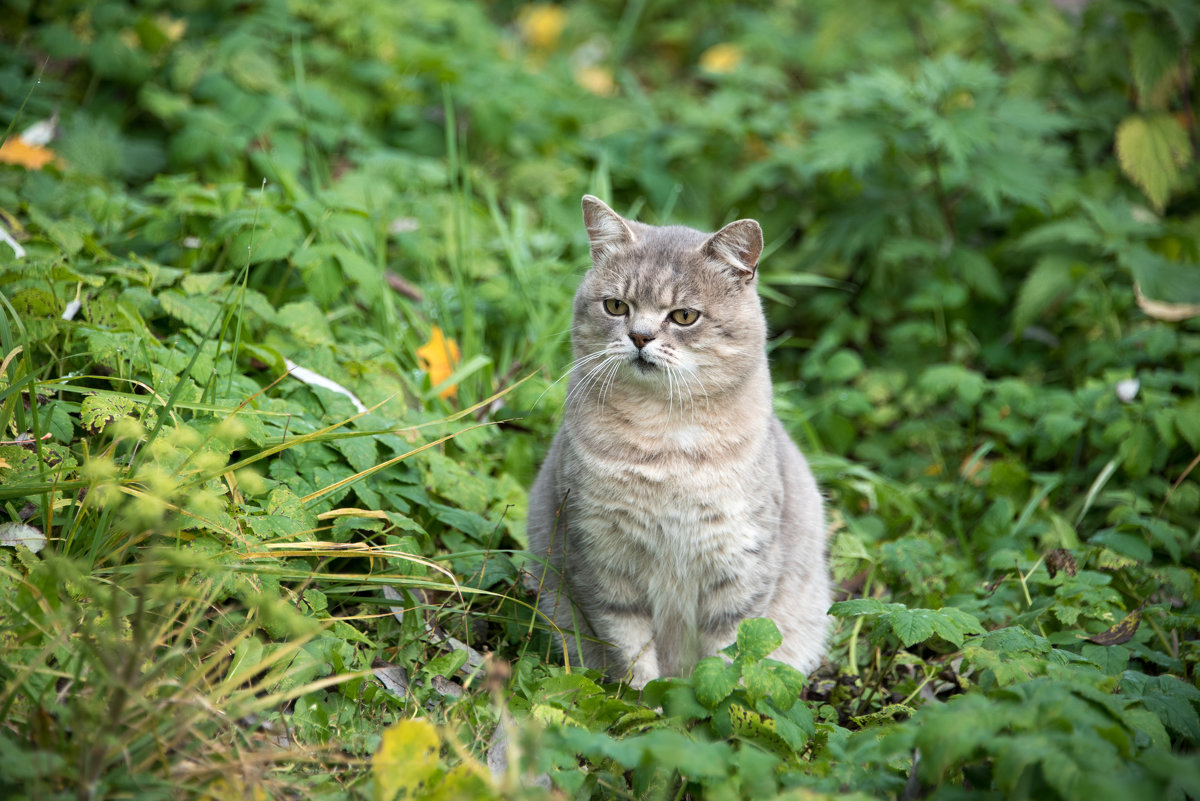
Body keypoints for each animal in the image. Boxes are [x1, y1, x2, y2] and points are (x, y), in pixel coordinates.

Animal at [530, 195, 830, 690]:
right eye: (616, 306)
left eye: (684, 316)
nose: (640, 336)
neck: (664, 435)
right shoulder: (600, 556)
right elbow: (630, 651)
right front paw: (644, 699)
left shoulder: (740, 565)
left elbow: (727, 658)